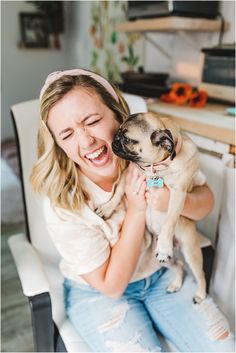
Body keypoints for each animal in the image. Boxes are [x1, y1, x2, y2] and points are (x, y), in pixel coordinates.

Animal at [110, 112, 206, 302]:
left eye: (127, 139)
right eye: (118, 131)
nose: (113, 139)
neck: (155, 168)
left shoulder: (178, 194)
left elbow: (170, 221)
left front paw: (164, 246)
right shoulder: (128, 173)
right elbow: (118, 190)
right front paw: (106, 207)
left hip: (191, 252)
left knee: (200, 274)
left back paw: (200, 294)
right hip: (161, 260)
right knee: (179, 265)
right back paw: (176, 284)